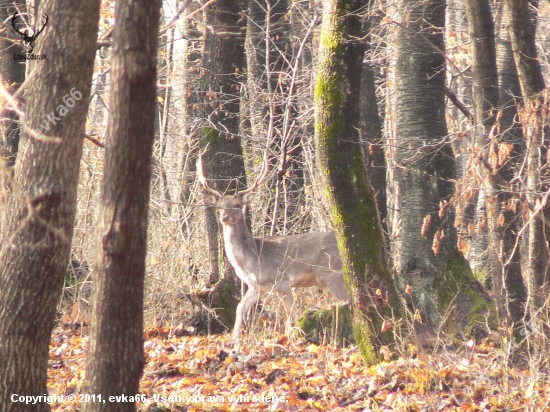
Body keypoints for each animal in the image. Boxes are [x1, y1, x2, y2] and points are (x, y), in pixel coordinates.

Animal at [196, 153, 348, 340]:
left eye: (237, 205)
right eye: (219, 206)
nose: (225, 217)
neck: (251, 260)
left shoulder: (282, 280)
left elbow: (292, 313)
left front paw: (293, 338)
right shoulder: (256, 286)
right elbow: (240, 308)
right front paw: (234, 339)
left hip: (328, 273)